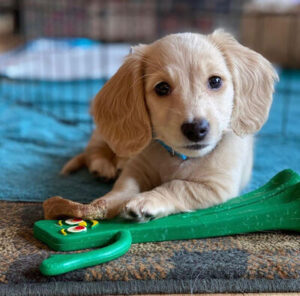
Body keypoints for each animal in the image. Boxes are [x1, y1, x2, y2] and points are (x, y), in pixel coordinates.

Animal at [43, 30, 278, 222]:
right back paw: (103, 167)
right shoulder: (135, 168)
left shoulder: (217, 187)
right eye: (162, 88)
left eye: (215, 81)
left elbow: (177, 186)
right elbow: (124, 186)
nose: (196, 129)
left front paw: (147, 200)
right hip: (102, 135)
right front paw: (103, 203)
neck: (180, 158)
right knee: (93, 151)